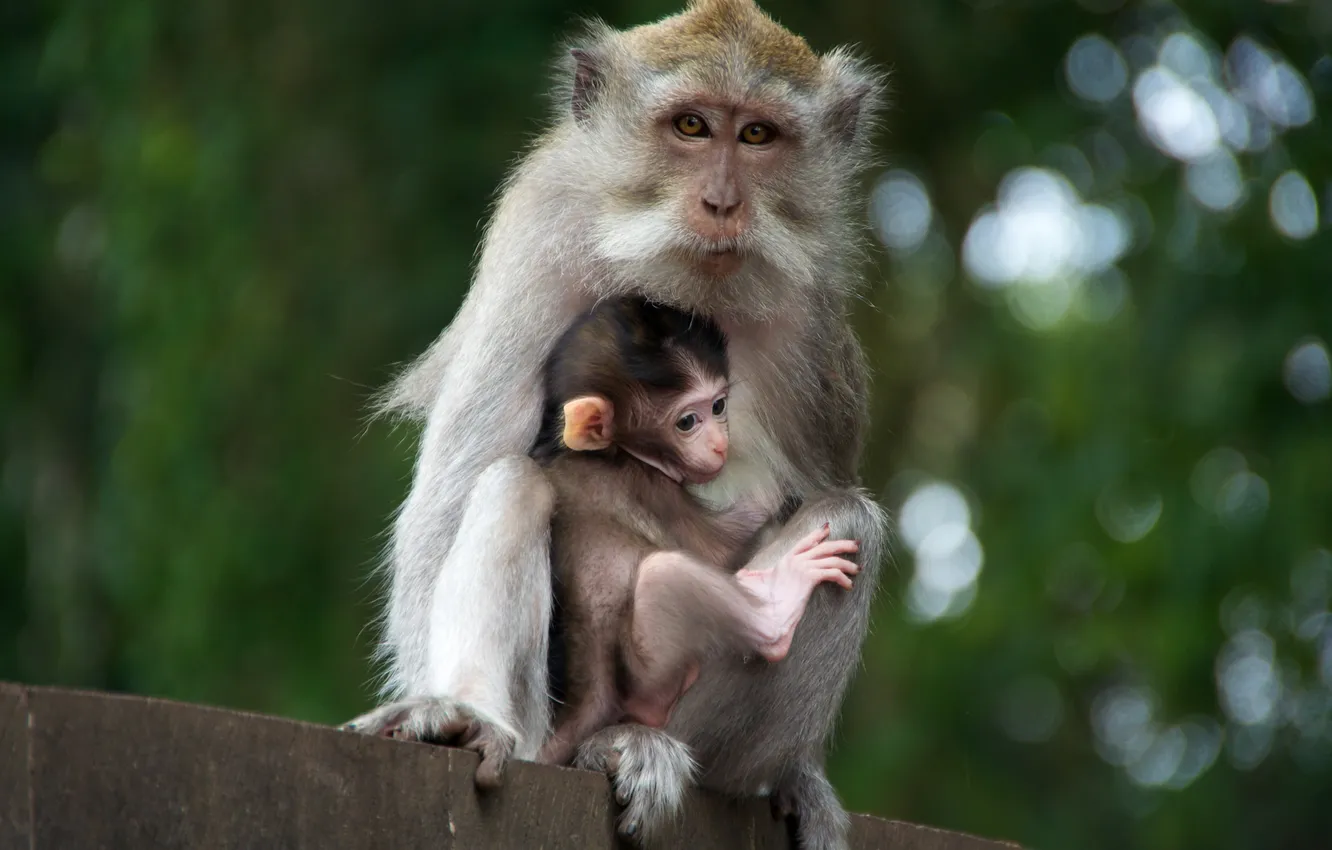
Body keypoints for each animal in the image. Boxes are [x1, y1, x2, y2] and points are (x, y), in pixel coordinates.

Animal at [528, 297, 861, 769]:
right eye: (687, 422)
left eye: (718, 407)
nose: (720, 445)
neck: (614, 452)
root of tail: (589, 701)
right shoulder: (651, 489)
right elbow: (717, 546)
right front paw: (775, 490)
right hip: (650, 681)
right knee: (665, 574)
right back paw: (777, 606)